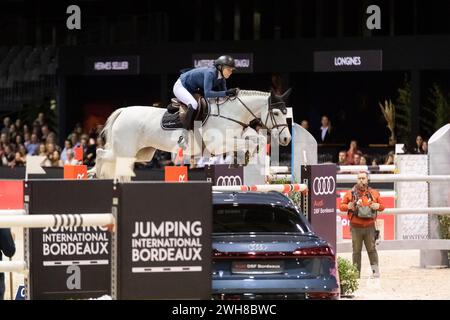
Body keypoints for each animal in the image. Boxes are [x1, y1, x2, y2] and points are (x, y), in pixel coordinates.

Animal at [91, 90, 292, 179]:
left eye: (285, 112)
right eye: (276, 113)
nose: (286, 139)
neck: (232, 112)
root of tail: (123, 111)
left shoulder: (235, 138)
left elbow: (257, 139)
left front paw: (248, 159)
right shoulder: (218, 144)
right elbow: (250, 143)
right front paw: (244, 158)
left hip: (142, 153)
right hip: (125, 150)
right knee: (101, 155)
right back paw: (98, 177)